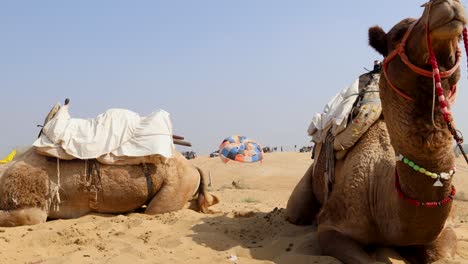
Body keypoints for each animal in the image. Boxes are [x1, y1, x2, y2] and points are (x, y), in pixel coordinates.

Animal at [288, 1, 466, 262]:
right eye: (398, 33)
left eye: (460, 38)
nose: (447, 5)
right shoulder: (333, 227)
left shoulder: (446, 231)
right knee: (296, 213)